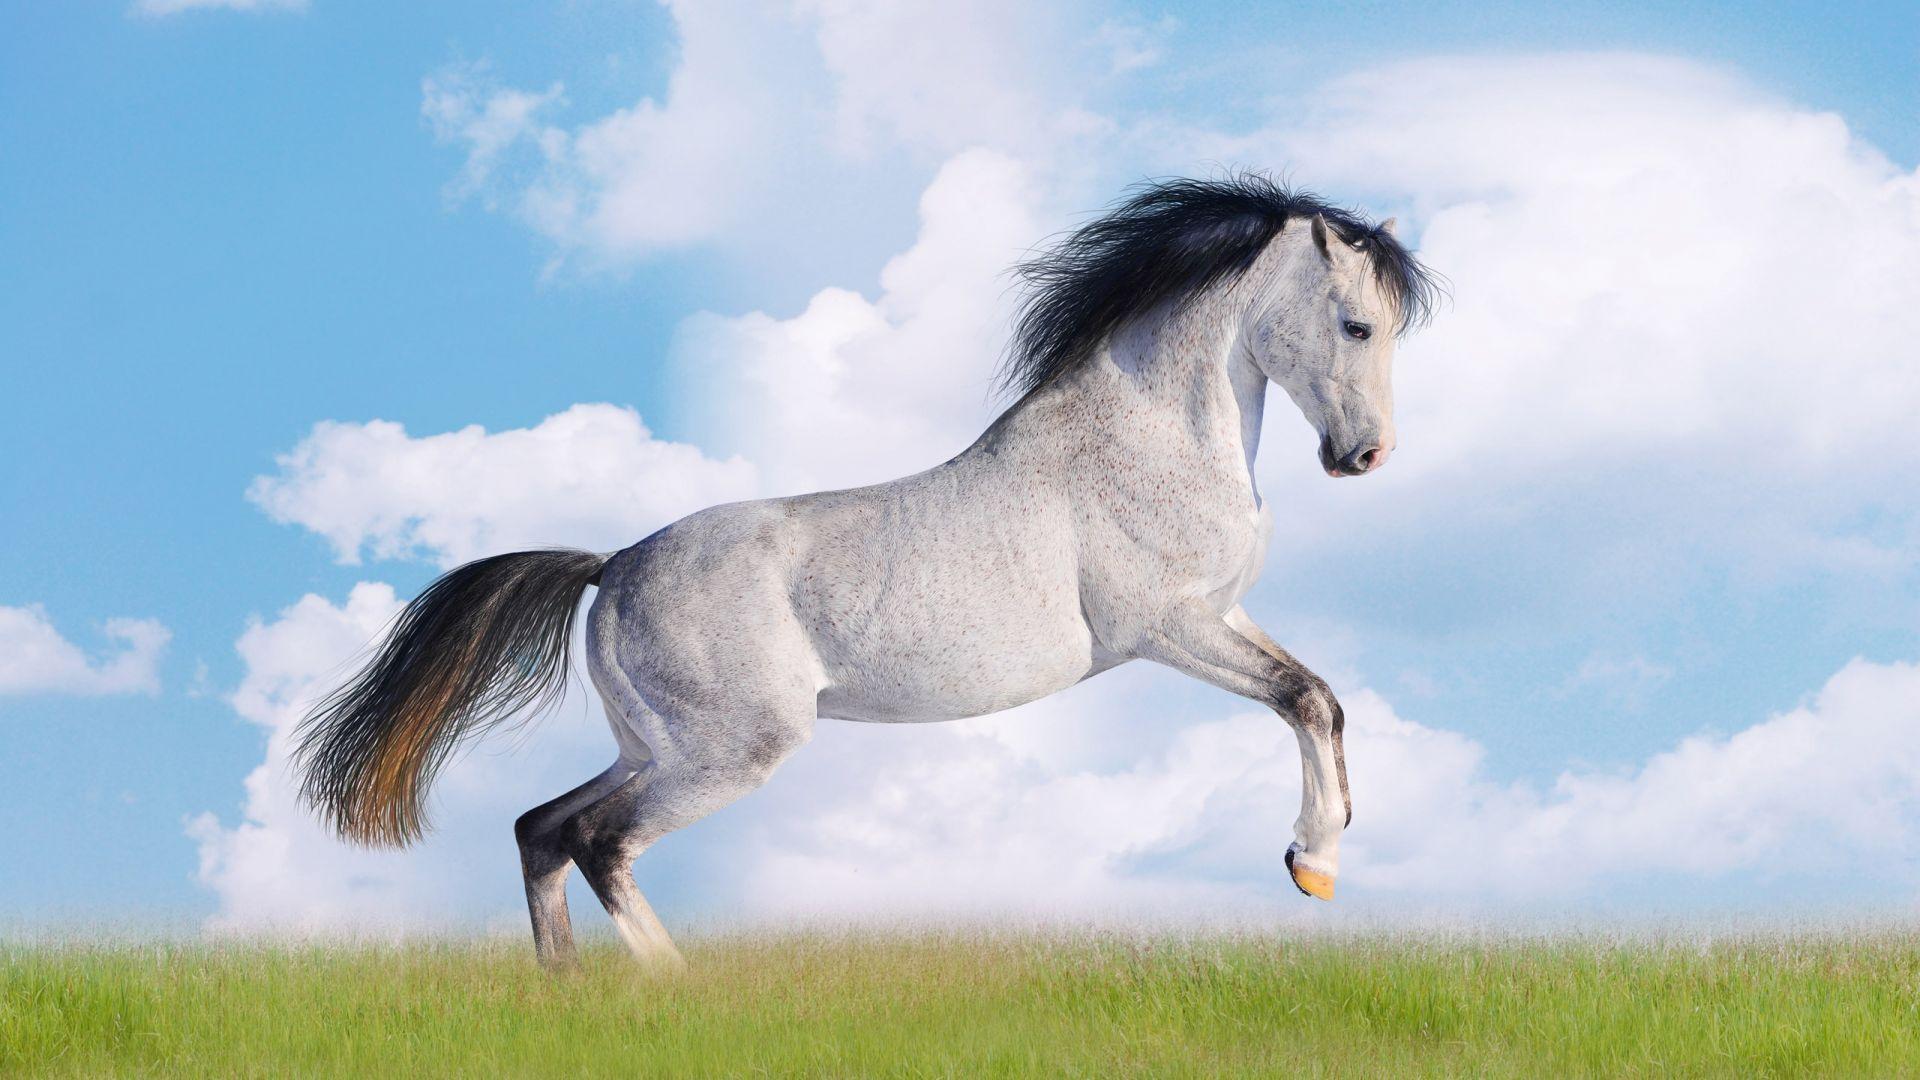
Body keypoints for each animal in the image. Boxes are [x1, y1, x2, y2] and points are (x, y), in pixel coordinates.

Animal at [294, 175, 1440, 970]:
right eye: (1356, 324)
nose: (1365, 457)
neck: (1146, 438)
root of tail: (612, 567)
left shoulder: (1221, 618)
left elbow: (1323, 697)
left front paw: (1320, 858)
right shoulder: (1167, 628)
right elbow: (1303, 698)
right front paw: (1312, 863)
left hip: (654, 744)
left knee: (542, 827)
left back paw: (567, 993)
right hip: (730, 751)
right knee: (598, 842)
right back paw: (675, 993)